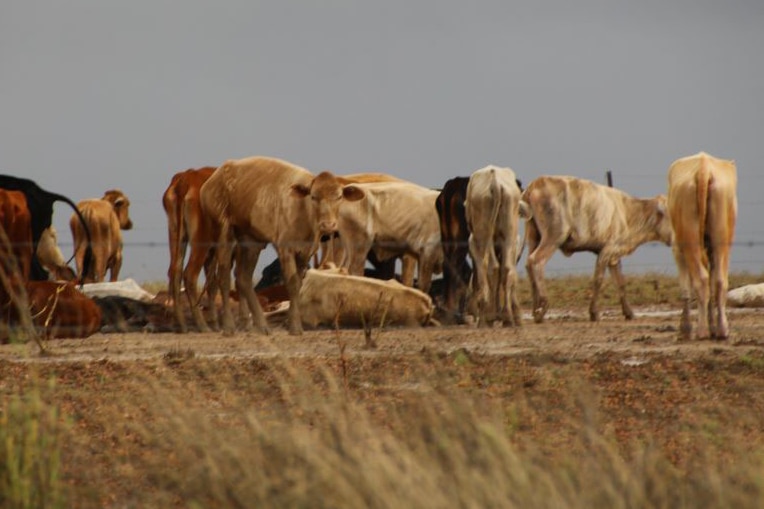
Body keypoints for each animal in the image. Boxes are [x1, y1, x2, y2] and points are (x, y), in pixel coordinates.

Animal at [162, 168, 218, 334]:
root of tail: (186, 178)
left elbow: (212, 283)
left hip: (176, 235)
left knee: (175, 272)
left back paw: (181, 324)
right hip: (201, 242)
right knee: (190, 275)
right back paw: (202, 325)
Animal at [197, 156, 364, 338]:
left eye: (339, 197)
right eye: (313, 197)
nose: (328, 225)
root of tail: (216, 176)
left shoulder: (306, 253)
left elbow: (299, 284)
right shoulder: (285, 249)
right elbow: (291, 284)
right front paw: (295, 327)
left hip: (251, 241)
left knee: (243, 278)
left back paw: (261, 325)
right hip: (223, 231)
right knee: (224, 277)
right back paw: (228, 327)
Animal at [462, 165, 528, 328]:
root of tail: (495, 182)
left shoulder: (475, 246)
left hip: (485, 234)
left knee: (492, 267)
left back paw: (490, 316)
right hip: (509, 231)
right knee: (506, 269)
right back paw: (507, 317)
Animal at [524, 177, 672, 324]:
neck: (629, 213)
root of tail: (536, 182)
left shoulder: (614, 255)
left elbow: (620, 282)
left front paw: (628, 312)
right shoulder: (606, 250)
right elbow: (598, 280)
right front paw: (594, 313)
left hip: (534, 237)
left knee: (528, 264)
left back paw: (535, 309)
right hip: (554, 236)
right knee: (536, 261)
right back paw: (542, 308)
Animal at [664, 152, 736, 342]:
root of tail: (704, 168)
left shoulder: (677, 250)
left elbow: (685, 288)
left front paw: (685, 329)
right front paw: (712, 325)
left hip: (689, 238)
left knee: (702, 278)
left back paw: (702, 331)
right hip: (721, 237)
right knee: (719, 280)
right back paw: (721, 330)